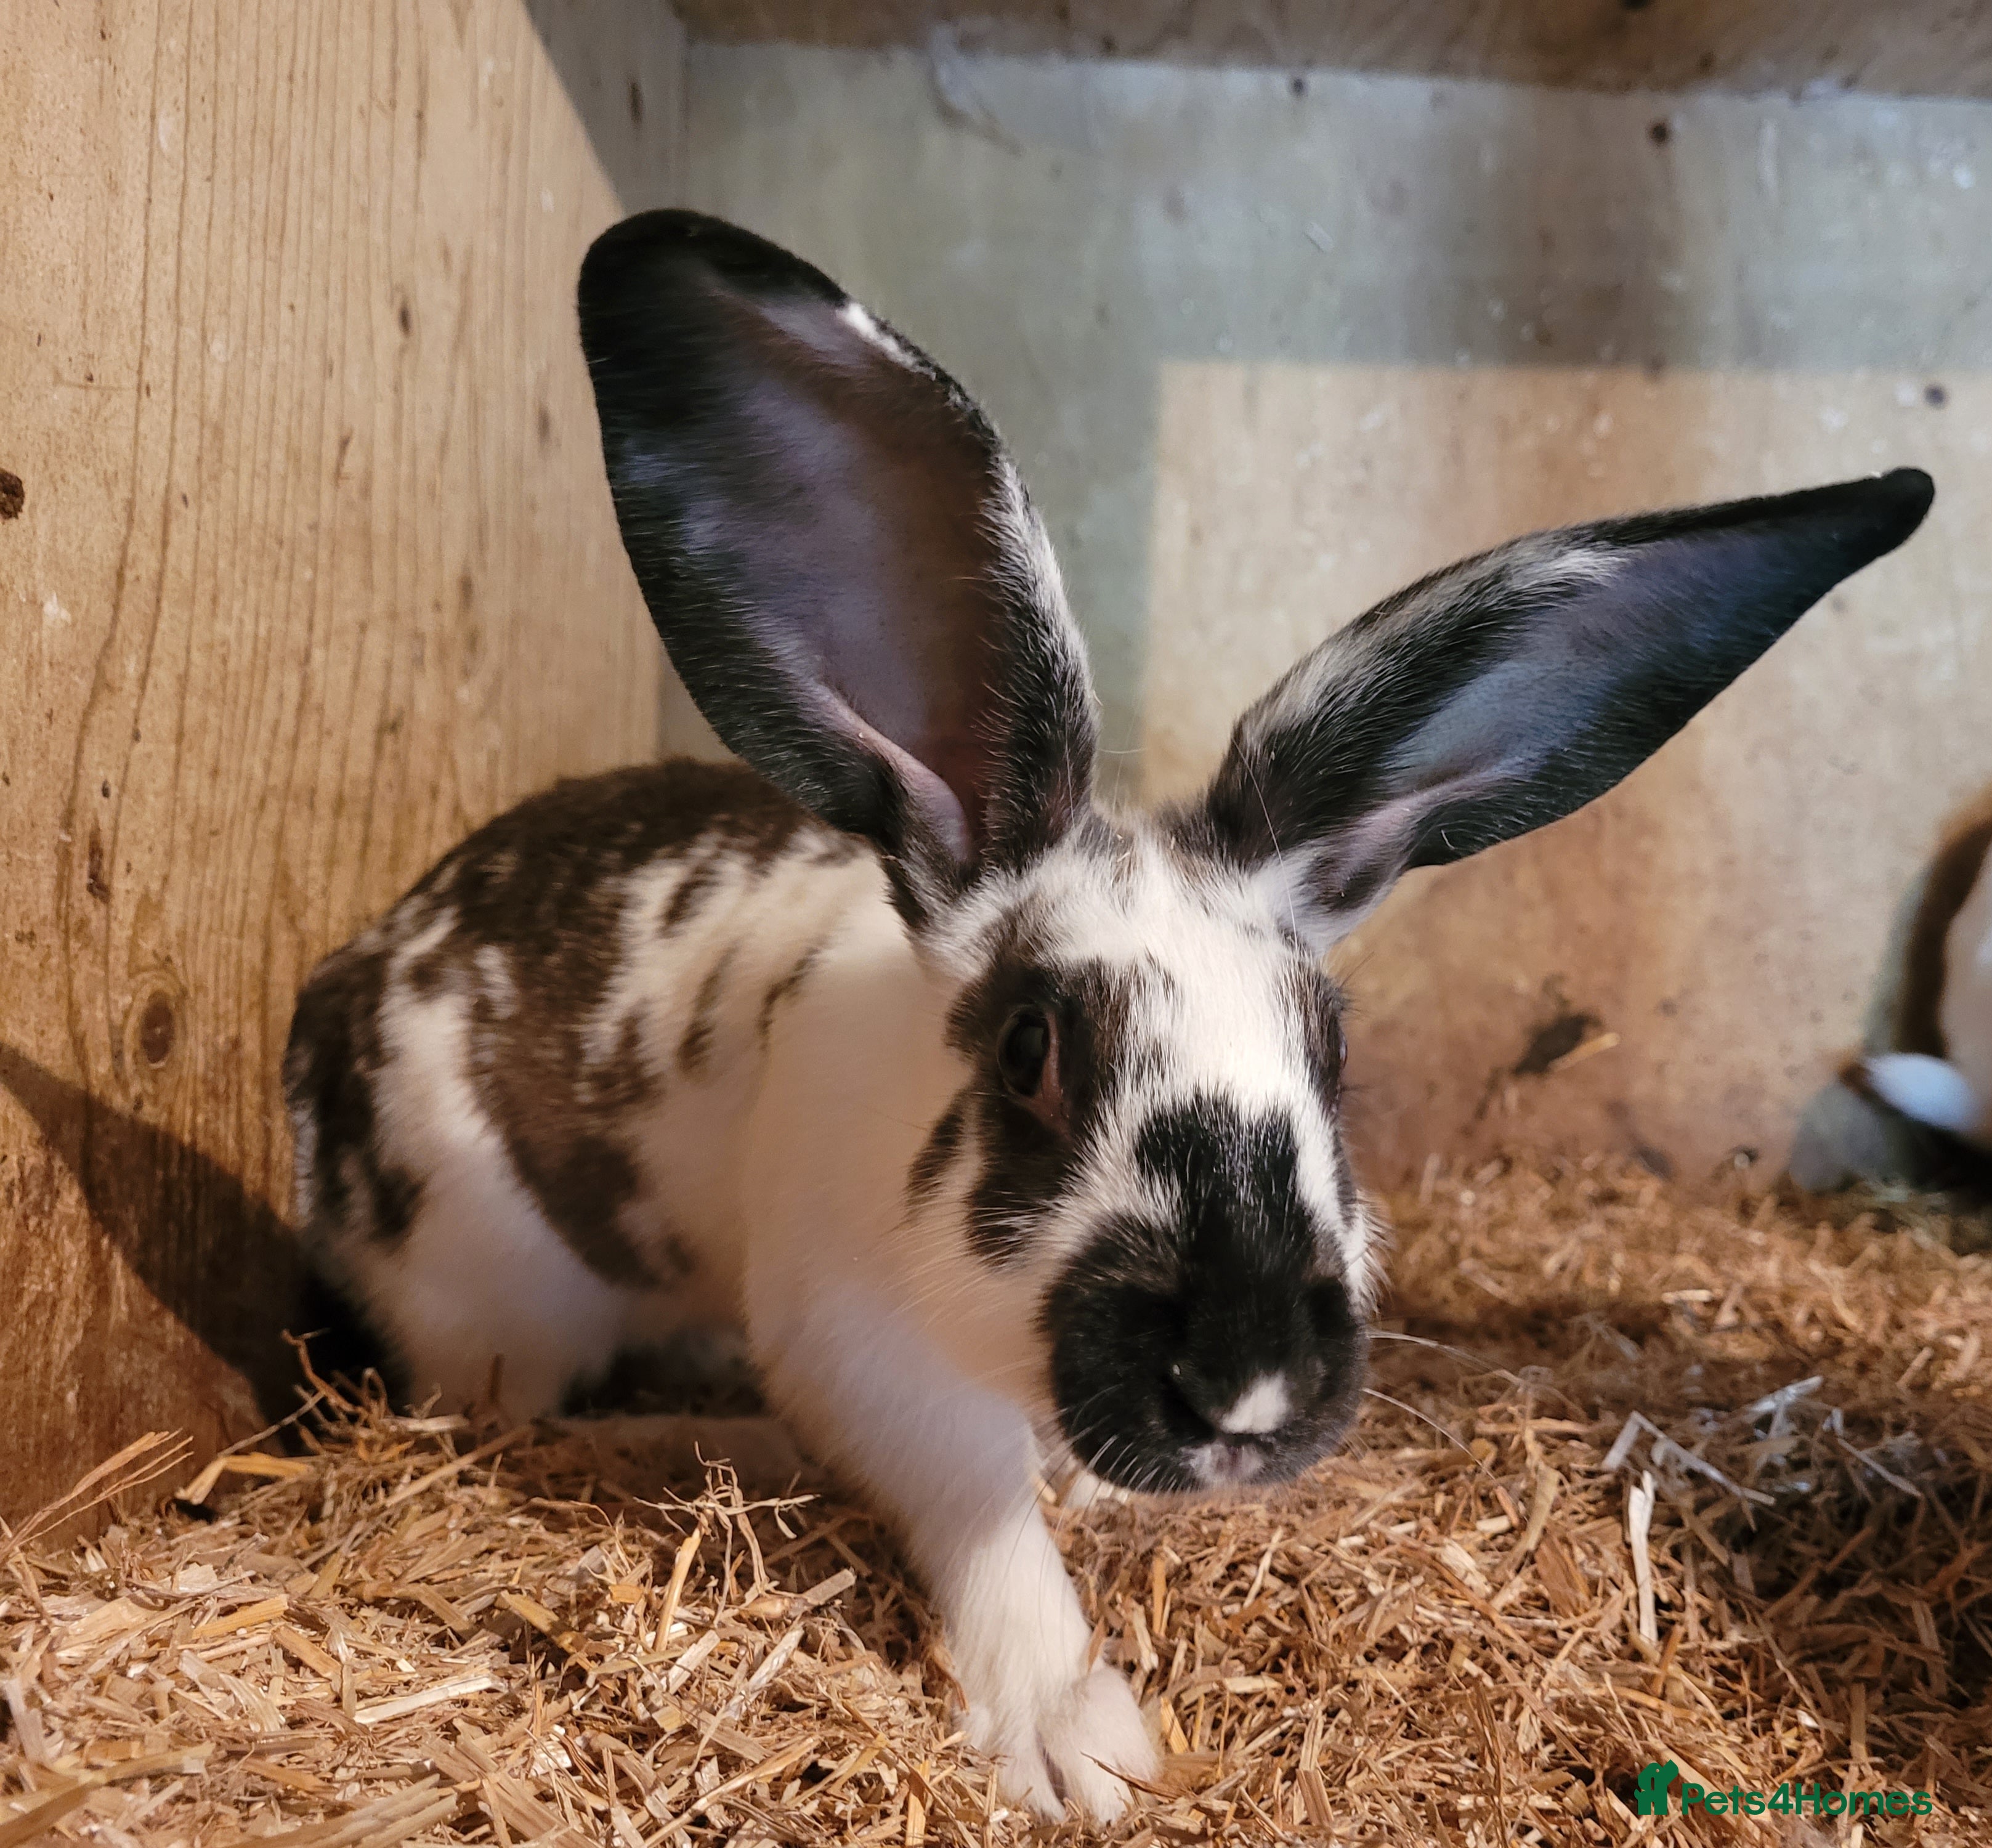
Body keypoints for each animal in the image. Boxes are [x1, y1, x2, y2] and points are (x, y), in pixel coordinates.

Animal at [284, 208, 1933, 1820]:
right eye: (1032, 1051)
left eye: (1333, 1051)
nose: (1249, 1384)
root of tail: (340, 996)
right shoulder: (865, 1345)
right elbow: (978, 1512)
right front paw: (1075, 1741)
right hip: (492, 1292)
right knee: (504, 1414)